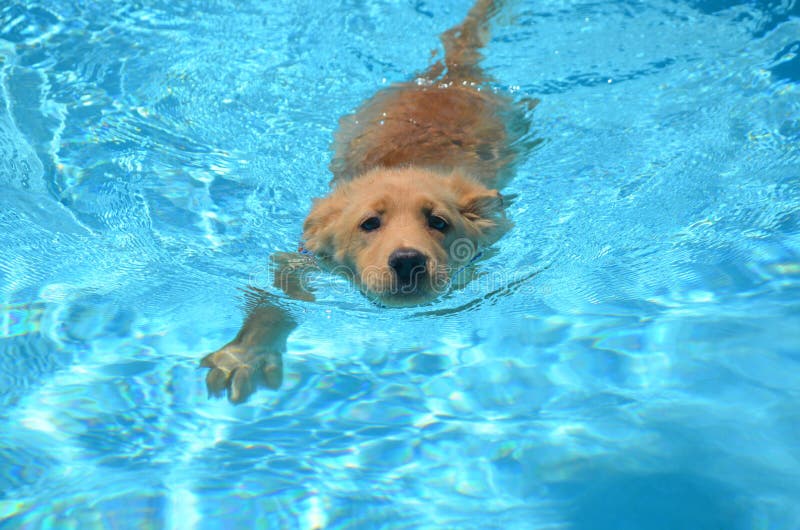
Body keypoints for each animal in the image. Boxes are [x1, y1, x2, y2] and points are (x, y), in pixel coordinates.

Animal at [203, 0, 536, 400]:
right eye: (370, 223)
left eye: (438, 222)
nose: (408, 261)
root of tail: (447, 76)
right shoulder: (305, 257)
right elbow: (275, 298)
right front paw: (246, 356)